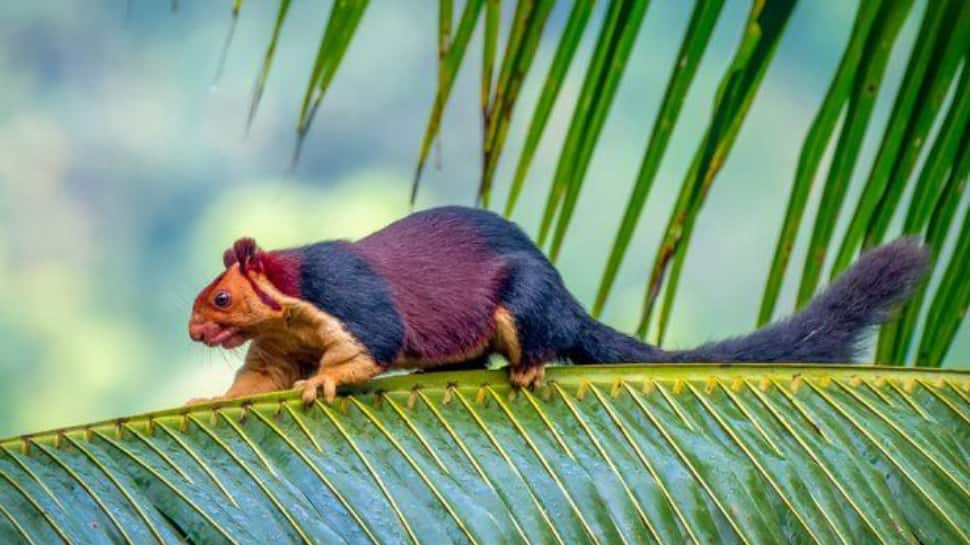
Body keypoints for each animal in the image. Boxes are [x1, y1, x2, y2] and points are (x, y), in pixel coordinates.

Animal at [183, 205, 932, 404]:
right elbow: (260, 379)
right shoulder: (278, 341)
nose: (193, 330)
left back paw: (530, 366)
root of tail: (570, 303)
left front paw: (325, 381)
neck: (290, 297)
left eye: (221, 296)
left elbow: (372, 341)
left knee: (533, 339)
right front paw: (211, 397)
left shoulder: (348, 297)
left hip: (525, 303)